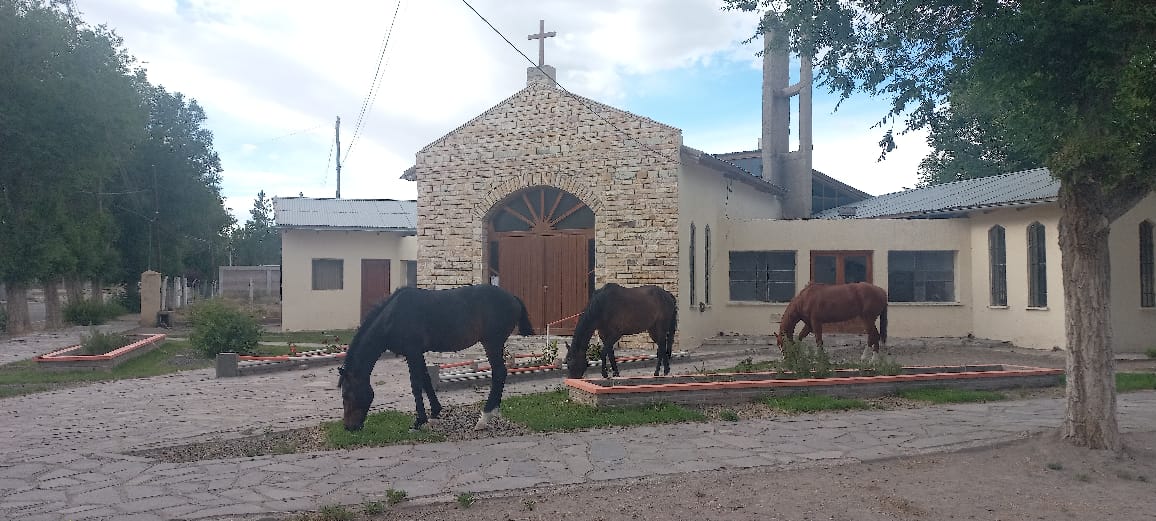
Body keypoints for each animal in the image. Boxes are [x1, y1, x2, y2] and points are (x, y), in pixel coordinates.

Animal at [335, 285, 531, 432]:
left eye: (346, 395)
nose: (349, 427)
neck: (392, 317)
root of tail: (513, 298)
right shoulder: (417, 353)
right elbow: (426, 380)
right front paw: (435, 412)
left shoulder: (412, 352)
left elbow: (416, 385)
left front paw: (418, 421)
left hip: (492, 343)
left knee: (499, 373)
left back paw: (485, 418)